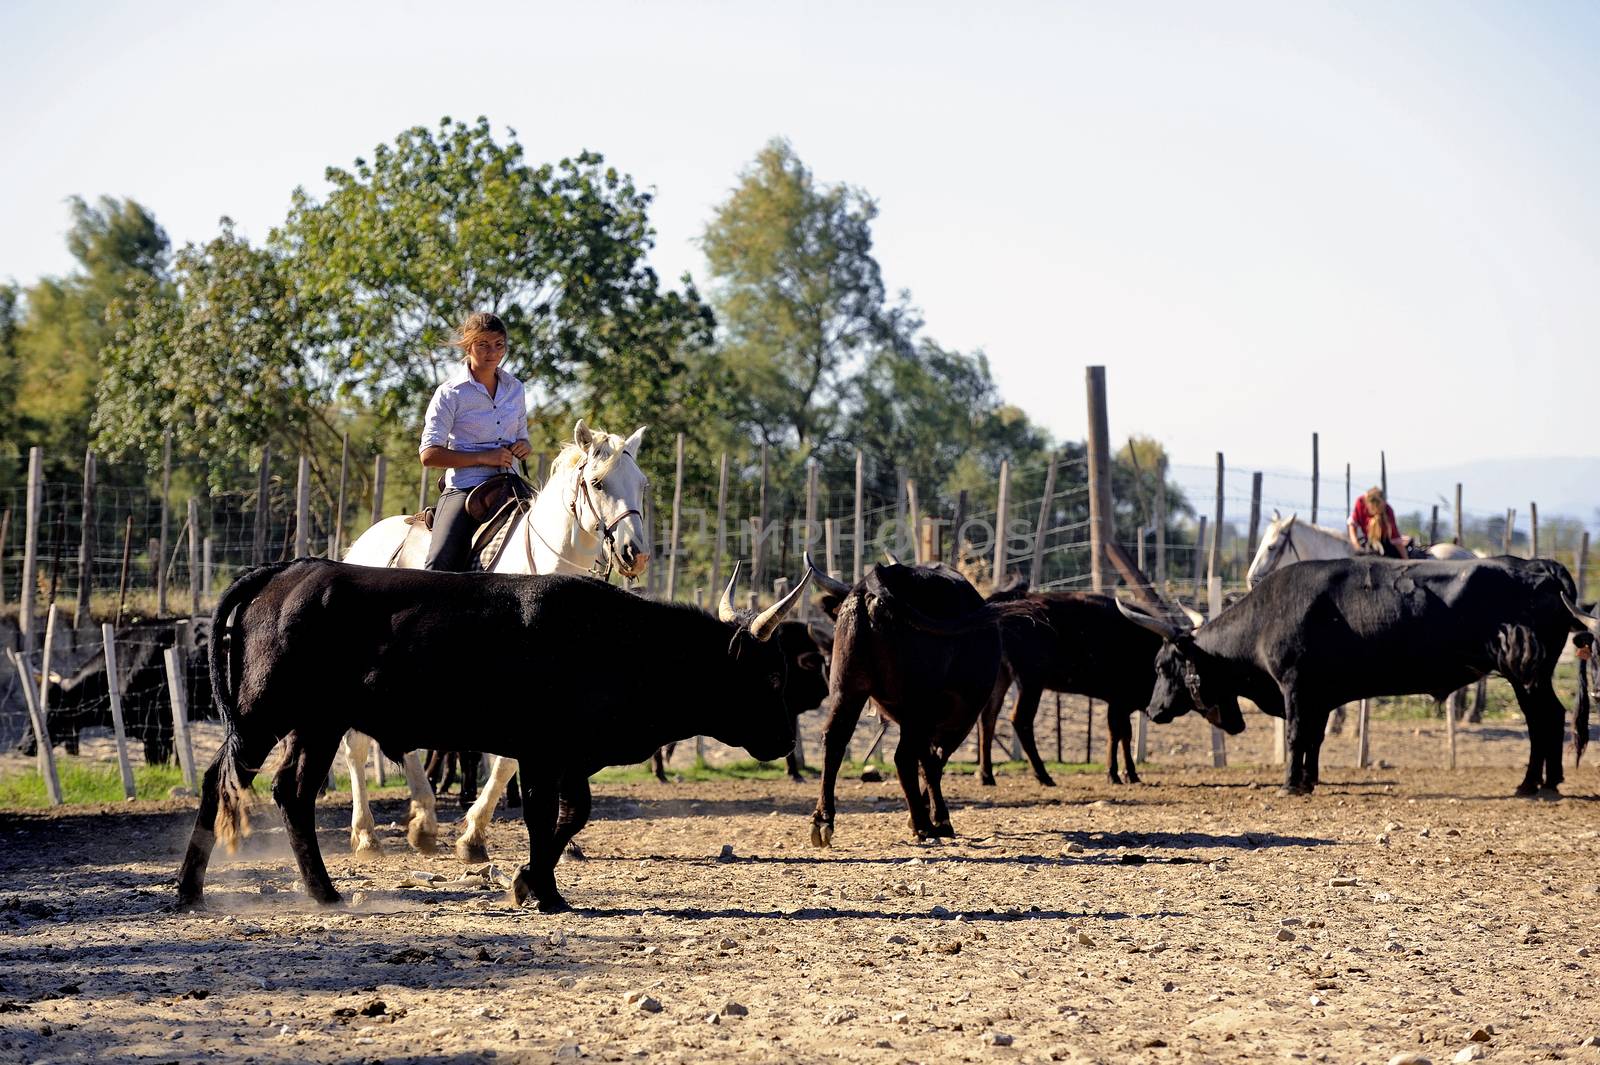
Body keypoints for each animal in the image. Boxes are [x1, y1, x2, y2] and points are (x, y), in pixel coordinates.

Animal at [175, 556, 812, 914]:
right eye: (773, 676)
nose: (786, 741)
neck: (619, 639)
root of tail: (288, 572)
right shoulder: (542, 752)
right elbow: (543, 815)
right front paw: (544, 892)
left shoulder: (568, 757)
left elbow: (572, 816)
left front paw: (529, 882)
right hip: (263, 715)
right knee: (219, 782)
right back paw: (190, 890)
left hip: (317, 723)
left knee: (293, 792)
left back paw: (322, 892)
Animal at [342, 418, 649, 857]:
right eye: (598, 483)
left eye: (641, 483)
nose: (634, 553)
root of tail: (360, 546)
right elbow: (503, 760)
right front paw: (473, 833)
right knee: (358, 746)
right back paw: (373, 833)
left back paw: (418, 821)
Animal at [1120, 550, 1593, 793]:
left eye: (1162, 666)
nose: (1152, 710)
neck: (1266, 617)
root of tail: (1539, 566)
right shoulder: (1320, 696)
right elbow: (1313, 739)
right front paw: (1308, 780)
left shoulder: (1296, 688)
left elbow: (1296, 735)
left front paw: (1290, 784)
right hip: (1532, 676)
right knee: (1549, 719)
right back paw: (1546, 782)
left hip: (1526, 675)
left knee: (1545, 719)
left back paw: (1534, 785)